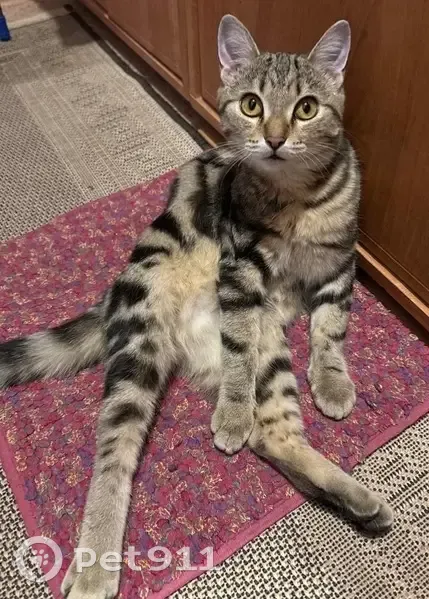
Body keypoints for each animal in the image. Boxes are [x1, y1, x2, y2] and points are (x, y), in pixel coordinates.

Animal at [0, 15, 393, 599]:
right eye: (252, 104)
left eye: (306, 108)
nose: (274, 138)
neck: (296, 199)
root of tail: (112, 295)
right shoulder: (241, 271)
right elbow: (243, 358)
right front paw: (233, 410)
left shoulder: (341, 265)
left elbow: (330, 332)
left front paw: (333, 383)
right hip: (146, 339)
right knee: (114, 453)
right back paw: (95, 566)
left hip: (270, 344)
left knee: (271, 433)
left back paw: (357, 500)